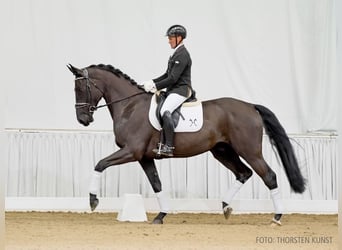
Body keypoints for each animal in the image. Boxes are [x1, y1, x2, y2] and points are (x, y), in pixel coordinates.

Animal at [67, 63, 304, 226]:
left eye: (80, 88)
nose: (83, 119)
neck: (130, 106)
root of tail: (250, 106)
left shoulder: (131, 151)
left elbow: (100, 164)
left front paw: (93, 200)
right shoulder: (144, 157)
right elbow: (157, 184)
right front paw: (161, 216)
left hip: (249, 150)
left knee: (269, 176)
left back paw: (276, 217)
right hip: (222, 151)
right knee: (244, 173)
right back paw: (226, 207)